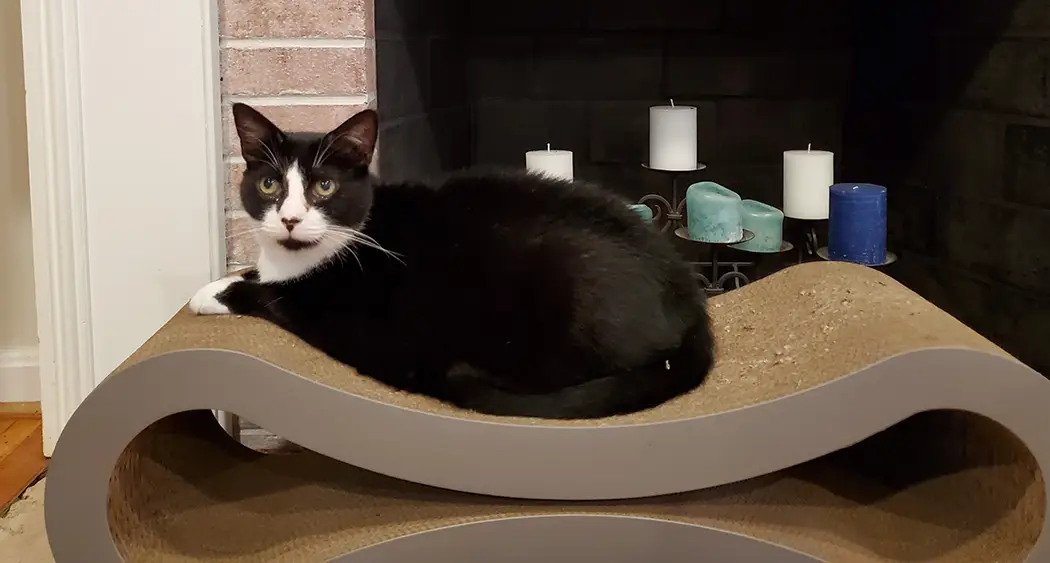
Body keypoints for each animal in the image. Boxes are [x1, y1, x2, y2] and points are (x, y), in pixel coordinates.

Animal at [188, 103, 713, 418]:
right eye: (269, 185)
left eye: (325, 186)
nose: (291, 219)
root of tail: (693, 310)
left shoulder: (352, 323)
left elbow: (273, 296)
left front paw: (211, 292)